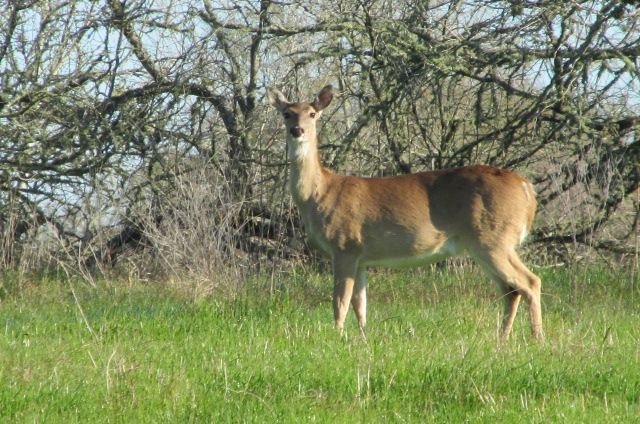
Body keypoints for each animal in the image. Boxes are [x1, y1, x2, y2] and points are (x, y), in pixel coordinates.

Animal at [268, 84, 543, 341]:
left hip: (494, 237)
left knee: (530, 282)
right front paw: (362, 338)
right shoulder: (361, 255)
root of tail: (527, 190)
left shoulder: (344, 244)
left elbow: (340, 301)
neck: (320, 193)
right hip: (484, 243)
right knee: (511, 289)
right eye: (286, 113)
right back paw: (502, 339)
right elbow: (360, 304)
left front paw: (337, 336)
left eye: (312, 114)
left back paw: (537, 338)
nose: (297, 130)